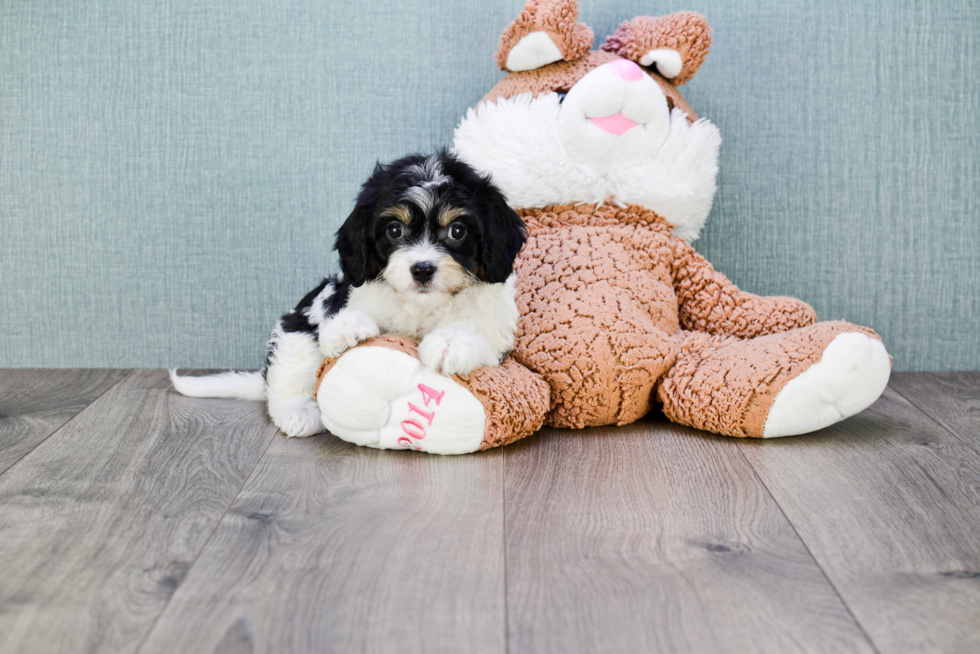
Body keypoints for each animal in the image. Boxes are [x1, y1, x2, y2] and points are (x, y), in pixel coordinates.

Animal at [172, 152, 532, 438]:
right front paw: (347, 328)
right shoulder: (342, 298)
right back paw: (298, 412)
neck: (421, 305)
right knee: (286, 376)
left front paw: (449, 344)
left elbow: (475, 332)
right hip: (296, 330)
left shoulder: (494, 327)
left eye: (457, 231)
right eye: (395, 230)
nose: (422, 269)